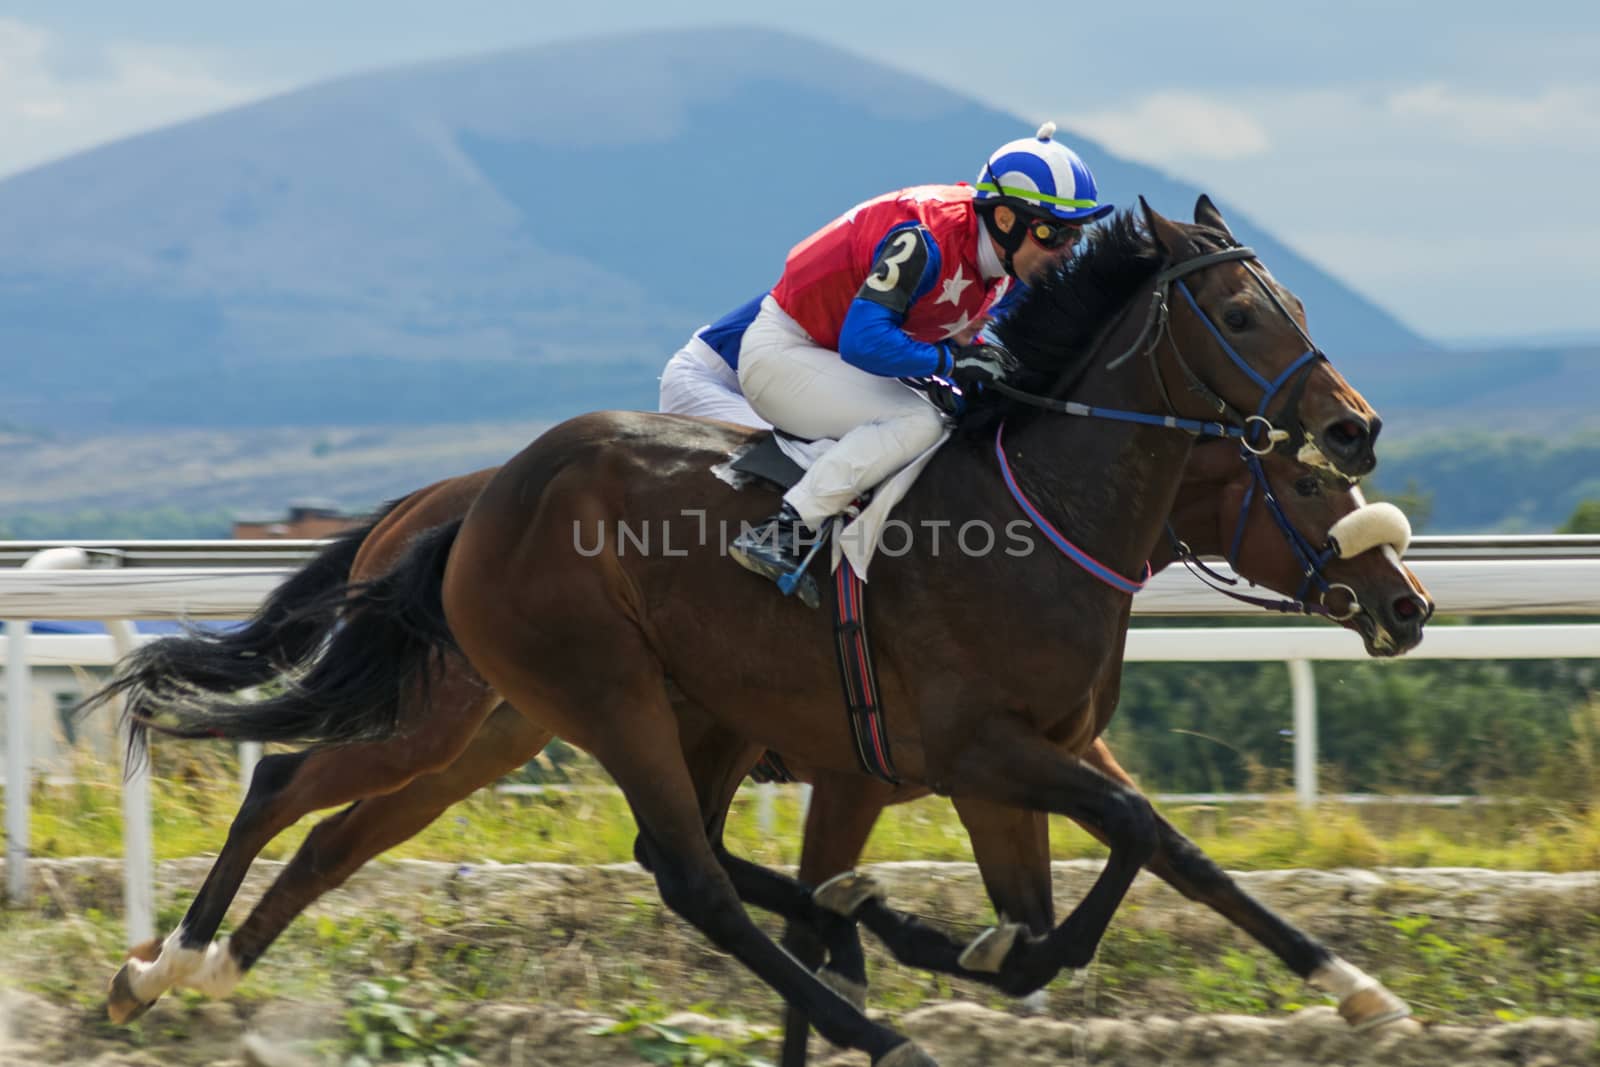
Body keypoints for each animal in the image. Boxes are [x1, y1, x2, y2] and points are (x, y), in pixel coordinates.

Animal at [93, 199, 1388, 1067]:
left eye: (1299, 306)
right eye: (1240, 313)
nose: (1354, 429)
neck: (1042, 512)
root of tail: (475, 503)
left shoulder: (1013, 758)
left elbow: (1129, 858)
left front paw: (1350, 983)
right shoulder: (962, 751)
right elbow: (1132, 833)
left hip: (548, 724)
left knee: (340, 823)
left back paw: (185, 969)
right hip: (582, 692)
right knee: (681, 875)